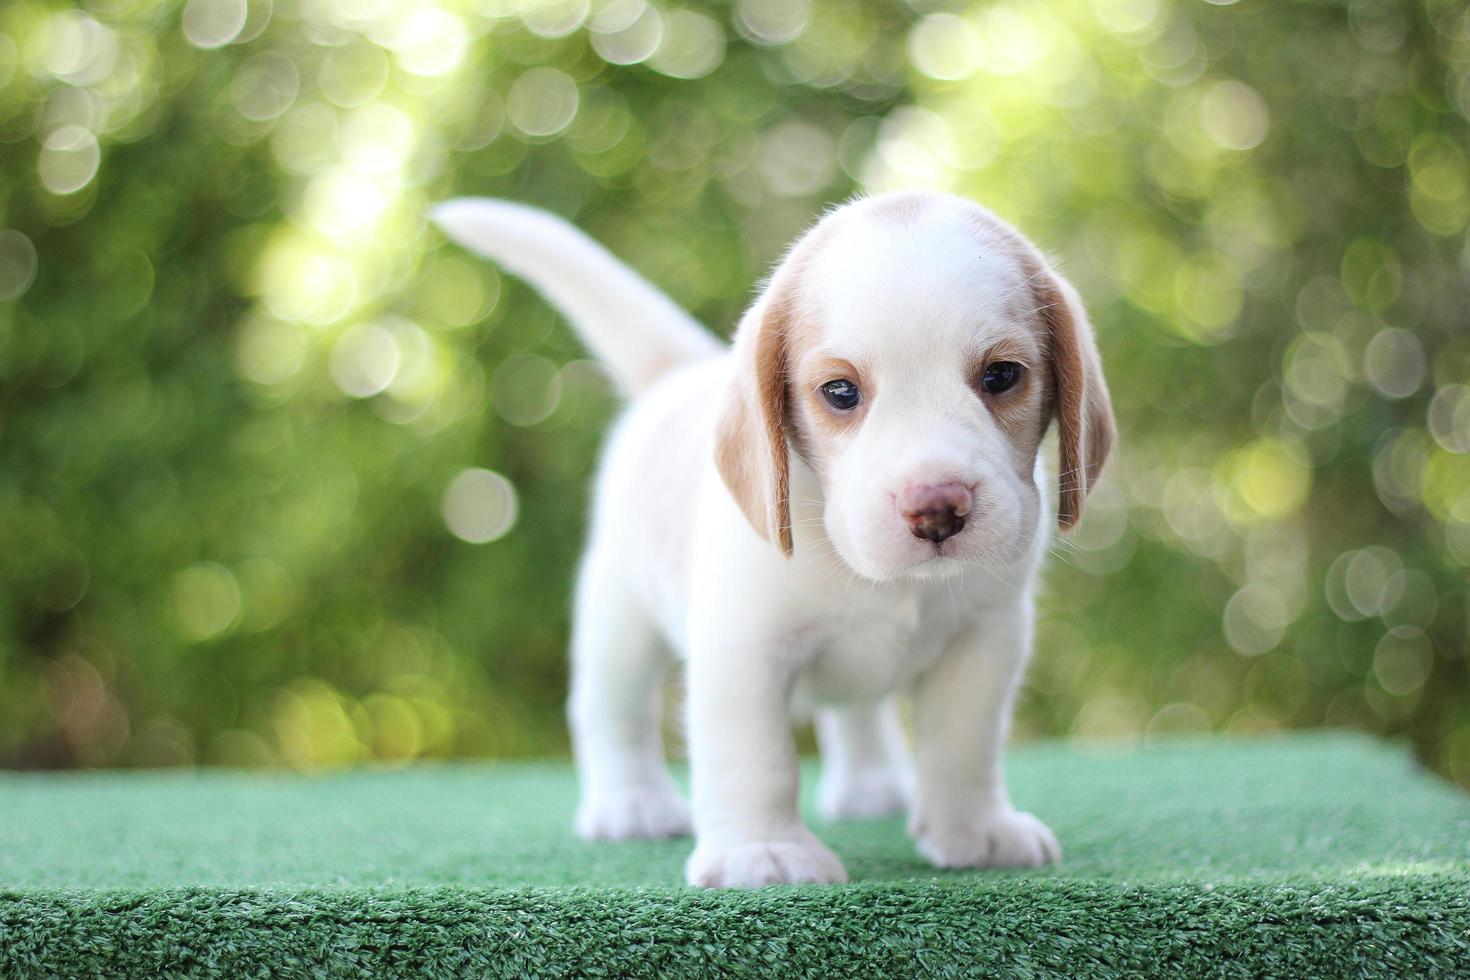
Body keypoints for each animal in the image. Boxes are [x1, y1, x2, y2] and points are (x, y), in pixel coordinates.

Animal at [432, 189, 1111, 887]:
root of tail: (678, 375)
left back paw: (872, 785)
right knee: (613, 713)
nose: (936, 508)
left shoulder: (985, 641)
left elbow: (962, 747)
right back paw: (631, 803)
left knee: (857, 713)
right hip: (618, 623)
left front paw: (975, 829)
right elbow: (756, 758)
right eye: (840, 391)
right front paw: (762, 850)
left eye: (1002, 376)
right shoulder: (743, 651)